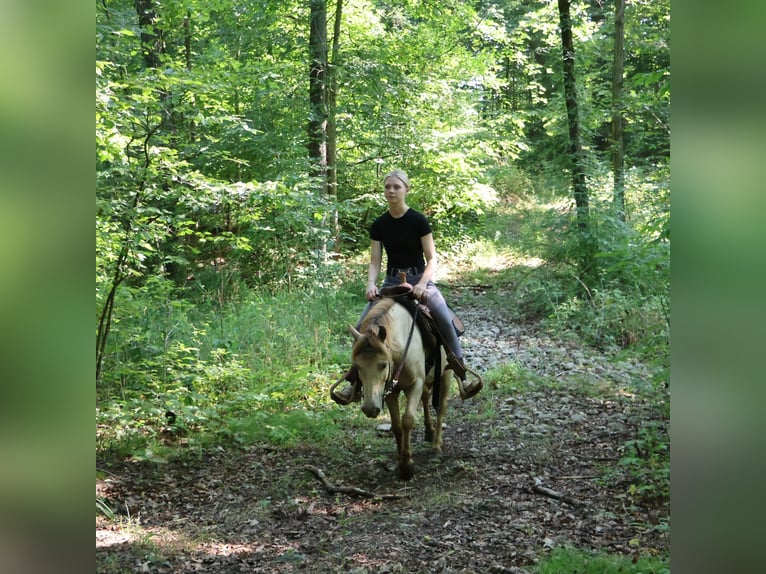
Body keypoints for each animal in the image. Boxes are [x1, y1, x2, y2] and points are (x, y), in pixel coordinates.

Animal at [349, 297, 453, 480]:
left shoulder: (415, 384)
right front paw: (400, 459)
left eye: (383, 365)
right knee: (426, 397)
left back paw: (436, 447)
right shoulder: (390, 390)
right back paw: (429, 431)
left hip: (445, 376)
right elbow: (396, 425)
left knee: (441, 408)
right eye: (358, 366)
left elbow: (407, 420)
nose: (370, 409)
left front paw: (407, 466)